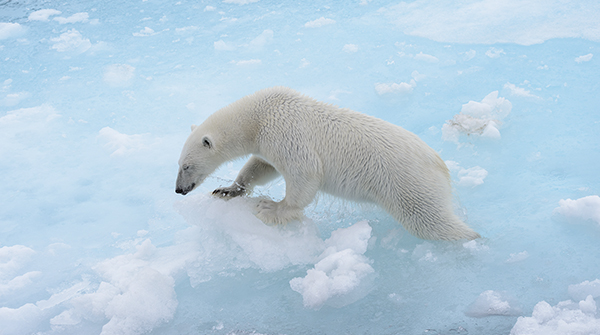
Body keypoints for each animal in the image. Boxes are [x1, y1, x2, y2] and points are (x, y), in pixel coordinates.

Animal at [176, 86, 480, 242]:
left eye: (186, 166)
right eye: (178, 163)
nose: (179, 190)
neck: (259, 115)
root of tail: (440, 165)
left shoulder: (286, 131)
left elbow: (305, 172)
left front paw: (271, 208)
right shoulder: (268, 141)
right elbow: (261, 167)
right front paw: (227, 190)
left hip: (409, 185)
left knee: (431, 221)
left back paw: (475, 237)